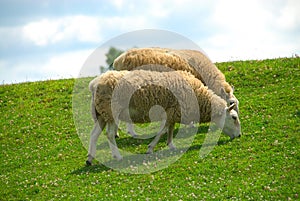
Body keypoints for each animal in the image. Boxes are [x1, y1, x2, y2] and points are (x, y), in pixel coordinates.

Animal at [85, 69, 240, 165]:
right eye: (233, 117)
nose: (239, 136)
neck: (200, 98)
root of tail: (94, 84)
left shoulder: (173, 112)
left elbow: (170, 129)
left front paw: (171, 145)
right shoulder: (171, 111)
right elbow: (163, 130)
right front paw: (150, 148)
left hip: (101, 114)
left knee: (94, 135)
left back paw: (89, 159)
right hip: (112, 111)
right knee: (110, 134)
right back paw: (117, 156)